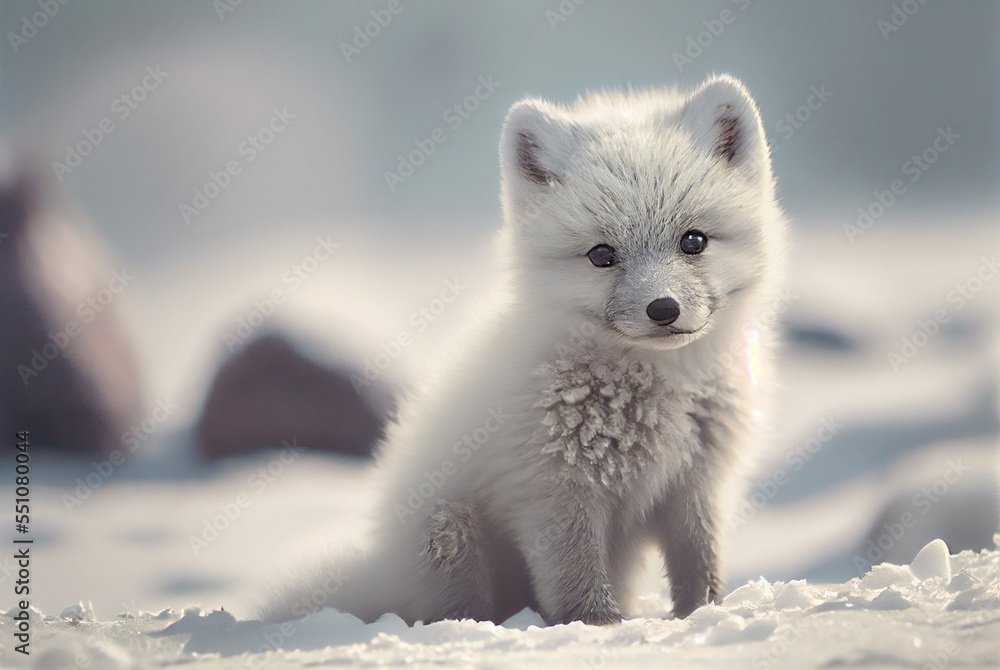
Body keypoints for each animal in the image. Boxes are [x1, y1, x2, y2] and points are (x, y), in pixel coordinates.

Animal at [262, 73, 788, 626]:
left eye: (693, 241)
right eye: (602, 254)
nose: (662, 308)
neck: (661, 395)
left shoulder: (696, 484)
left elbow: (698, 570)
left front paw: (700, 618)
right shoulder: (551, 492)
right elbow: (579, 584)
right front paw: (600, 630)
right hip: (450, 535)